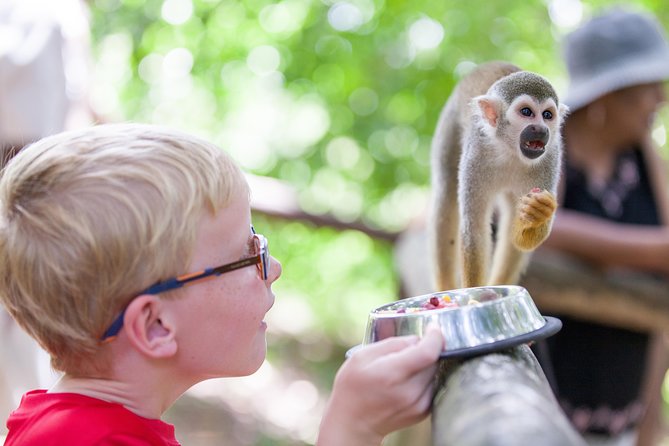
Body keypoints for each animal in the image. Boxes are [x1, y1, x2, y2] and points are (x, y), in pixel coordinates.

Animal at [430, 61, 568, 290]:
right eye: (527, 112)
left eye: (548, 115)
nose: (541, 129)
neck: (510, 150)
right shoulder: (476, 154)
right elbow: (474, 232)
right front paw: (475, 294)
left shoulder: (550, 158)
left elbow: (520, 241)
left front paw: (538, 214)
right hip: (449, 122)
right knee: (446, 191)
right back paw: (446, 287)